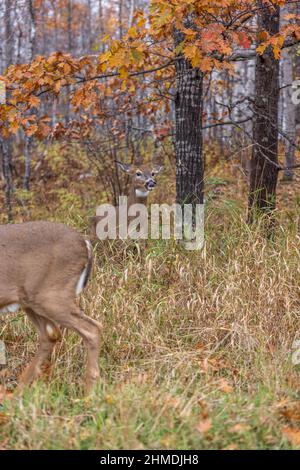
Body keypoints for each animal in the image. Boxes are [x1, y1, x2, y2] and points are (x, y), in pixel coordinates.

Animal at [0, 222, 101, 394]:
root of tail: (85, 243)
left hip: (51, 295)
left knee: (92, 328)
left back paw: (89, 393)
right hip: (32, 301)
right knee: (51, 333)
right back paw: (18, 394)